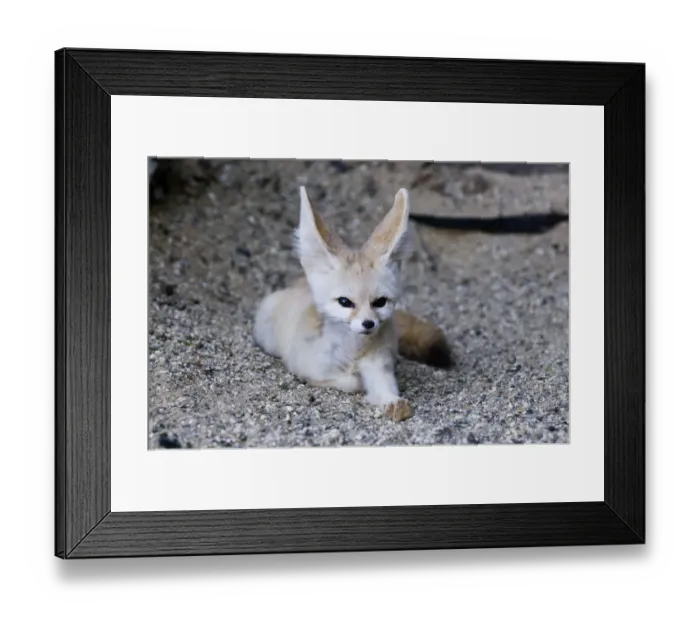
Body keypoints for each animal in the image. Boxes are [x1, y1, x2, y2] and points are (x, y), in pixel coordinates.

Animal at [253, 186, 453, 422]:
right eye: (345, 302)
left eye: (380, 302)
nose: (368, 324)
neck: (353, 354)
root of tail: (299, 283)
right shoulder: (306, 368)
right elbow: (349, 381)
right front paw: (356, 381)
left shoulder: (380, 367)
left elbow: (385, 388)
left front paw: (392, 402)